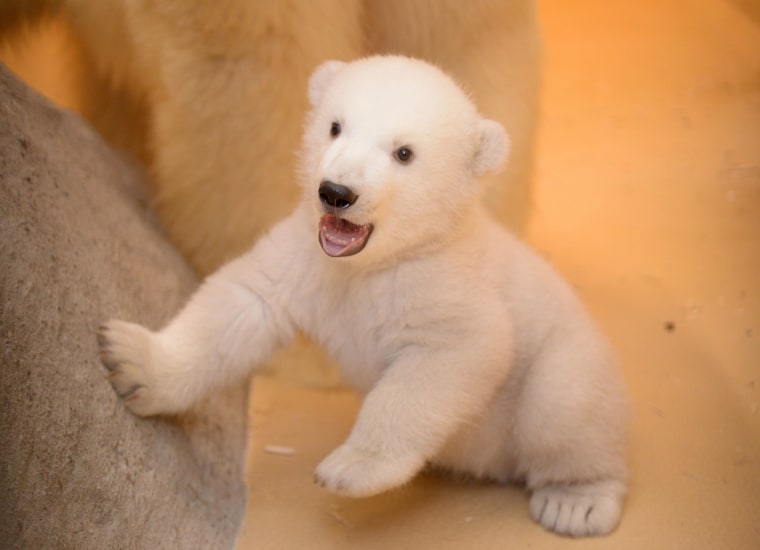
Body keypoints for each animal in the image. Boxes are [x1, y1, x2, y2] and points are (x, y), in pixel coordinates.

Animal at [97, 55, 628, 538]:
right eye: (335, 126)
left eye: (404, 153)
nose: (336, 192)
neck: (370, 264)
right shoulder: (306, 261)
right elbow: (242, 302)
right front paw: (131, 359)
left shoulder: (443, 283)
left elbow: (451, 355)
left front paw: (352, 467)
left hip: (566, 360)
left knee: (563, 406)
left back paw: (576, 502)